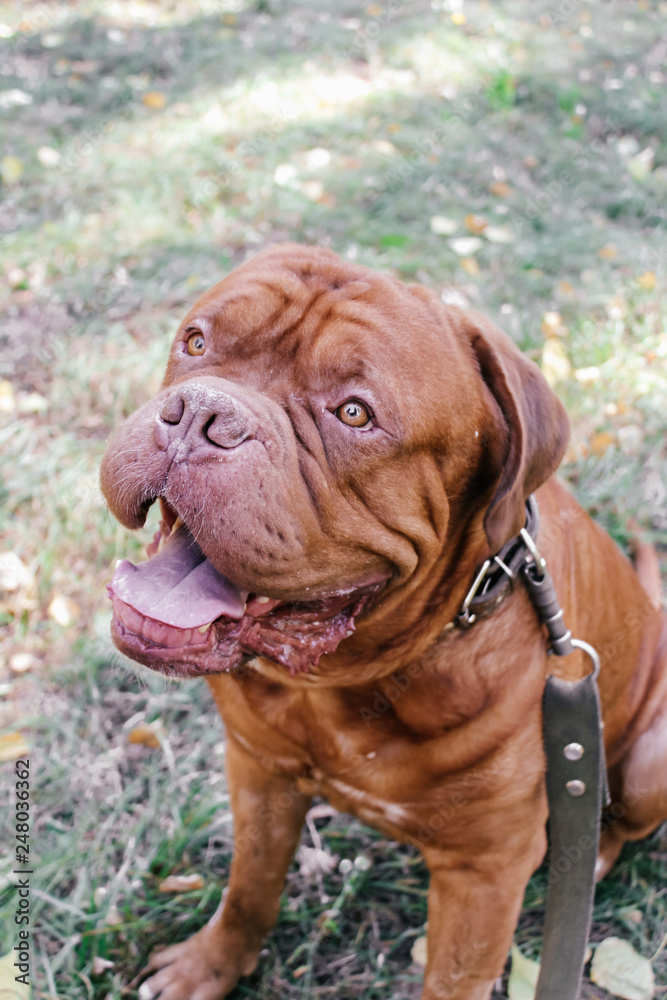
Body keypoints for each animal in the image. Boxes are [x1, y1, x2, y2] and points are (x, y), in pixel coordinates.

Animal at [100, 244, 667, 1000]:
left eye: (354, 413)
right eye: (196, 342)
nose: (199, 413)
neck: (346, 683)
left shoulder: (483, 878)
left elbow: (451, 980)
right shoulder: (258, 773)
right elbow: (248, 887)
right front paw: (208, 965)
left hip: (649, 761)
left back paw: (590, 855)